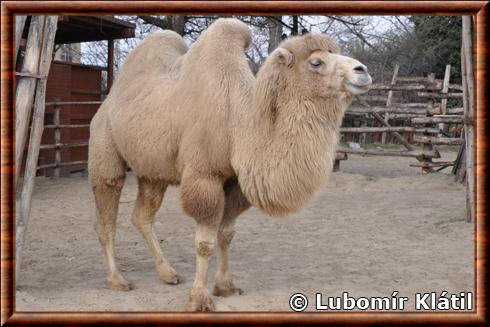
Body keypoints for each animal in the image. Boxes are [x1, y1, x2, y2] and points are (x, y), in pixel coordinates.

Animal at [88, 18, 372, 312]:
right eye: (316, 62)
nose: (362, 71)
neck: (238, 124)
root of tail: (107, 102)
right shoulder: (204, 175)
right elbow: (205, 243)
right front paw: (199, 299)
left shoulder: (235, 181)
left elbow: (226, 234)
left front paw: (225, 287)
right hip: (104, 147)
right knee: (106, 214)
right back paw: (118, 280)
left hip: (152, 171)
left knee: (142, 216)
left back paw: (168, 274)